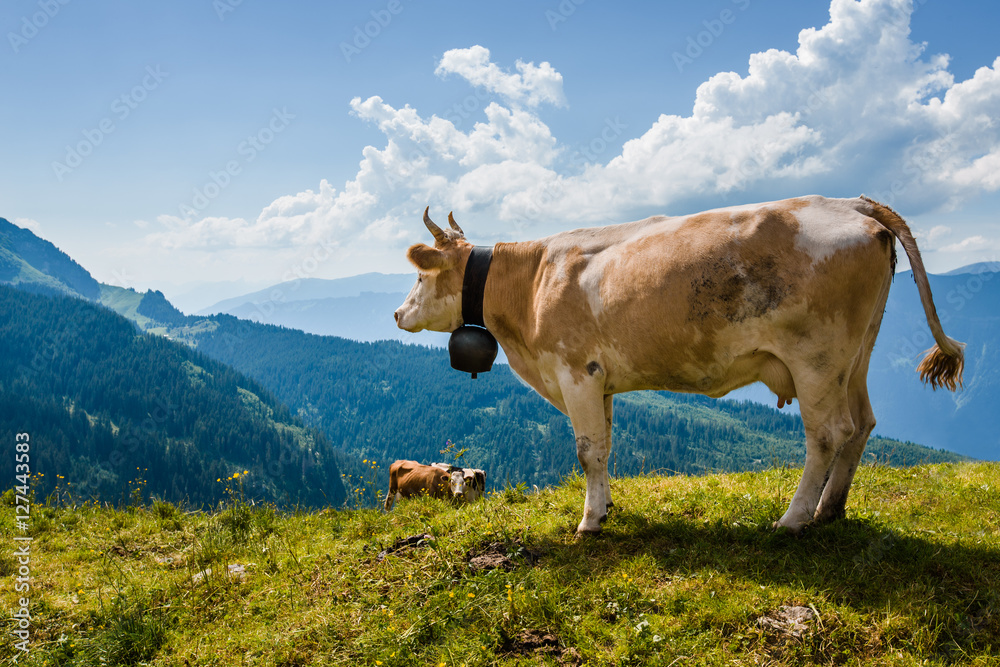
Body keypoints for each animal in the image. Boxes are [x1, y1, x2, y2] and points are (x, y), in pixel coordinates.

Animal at [394, 196, 964, 536]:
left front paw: (587, 523)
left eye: (420, 278)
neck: (531, 283)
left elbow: (586, 451)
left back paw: (793, 519)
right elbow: (605, 448)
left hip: (818, 359)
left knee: (828, 433)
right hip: (856, 356)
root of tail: (850, 203)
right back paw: (830, 510)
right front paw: (605, 509)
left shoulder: (577, 372)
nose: (398, 313)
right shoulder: (602, 382)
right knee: (862, 423)